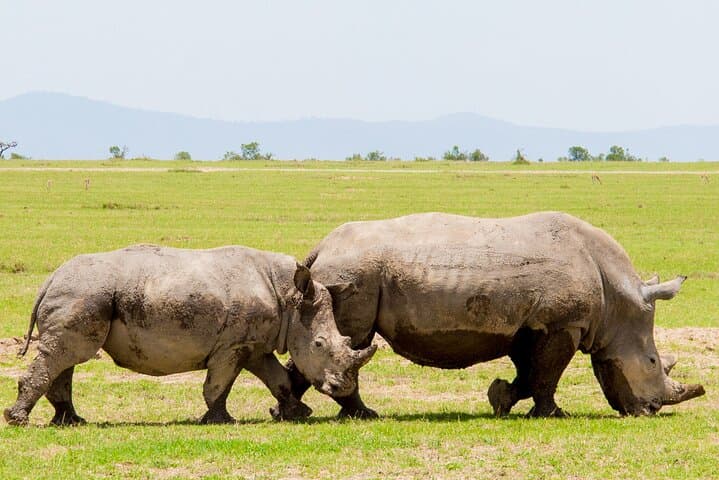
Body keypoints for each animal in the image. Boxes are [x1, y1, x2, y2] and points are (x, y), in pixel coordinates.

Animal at [3, 245, 376, 426]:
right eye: (319, 344)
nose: (342, 388)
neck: (289, 296)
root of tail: (50, 279)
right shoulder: (232, 346)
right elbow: (218, 384)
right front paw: (220, 421)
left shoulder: (254, 345)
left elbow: (278, 378)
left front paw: (298, 413)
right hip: (84, 292)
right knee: (64, 354)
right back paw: (19, 421)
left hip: (81, 293)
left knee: (65, 357)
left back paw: (70, 422)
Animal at [281, 212, 705, 417]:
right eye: (652, 362)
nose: (650, 410)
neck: (618, 299)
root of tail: (320, 249)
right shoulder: (562, 323)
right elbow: (546, 375)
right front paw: (553, 414)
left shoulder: (530, 325)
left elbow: (530, 372)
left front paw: (500, 398)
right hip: (352, 274)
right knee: (353, 341)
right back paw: (362, 415)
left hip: (344, 274)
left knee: (337, 341)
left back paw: (290, 412)